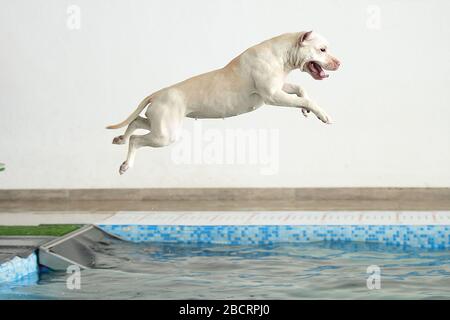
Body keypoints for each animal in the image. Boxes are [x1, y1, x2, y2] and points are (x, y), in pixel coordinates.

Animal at [108, 31, 342, 174]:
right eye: (322, 49)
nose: (339, 63)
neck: (282, 54)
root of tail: (156, 94)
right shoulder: (273, 96)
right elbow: (306, 99)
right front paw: (322, 114)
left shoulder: (280, 87)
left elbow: (301, 91)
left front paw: (305, 109)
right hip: (165, 135)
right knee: (136, 140)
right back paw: (126, 164)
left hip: (161, 124)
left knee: (137, 121)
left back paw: (120, 138)